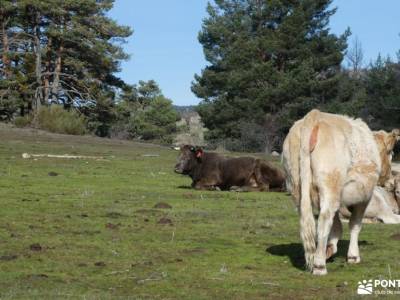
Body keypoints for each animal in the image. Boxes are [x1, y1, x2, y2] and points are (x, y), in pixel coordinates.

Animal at [282, 109, 398, 276]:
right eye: (391, 154)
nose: (390, 181)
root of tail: (314, 116)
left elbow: (336, 226)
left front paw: (330, 249)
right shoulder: (364, 197)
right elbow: (355, 225)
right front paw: (353, 256)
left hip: (297, 187)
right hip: (331, 185)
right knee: (324, 220)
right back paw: (319, 266)